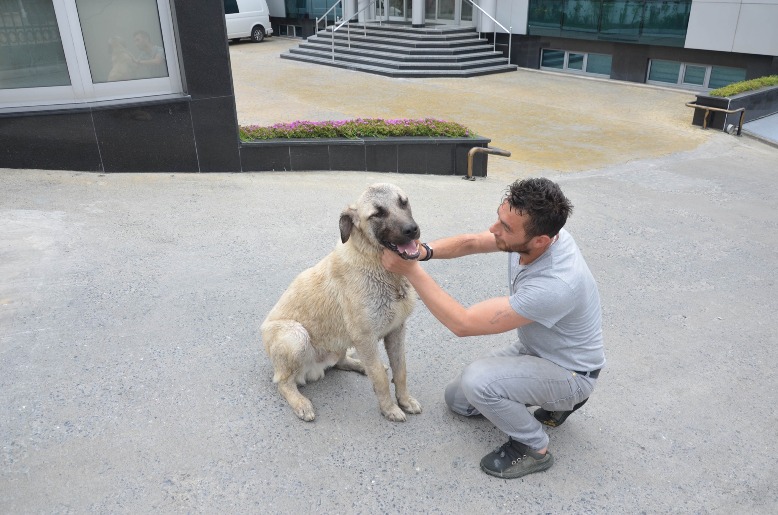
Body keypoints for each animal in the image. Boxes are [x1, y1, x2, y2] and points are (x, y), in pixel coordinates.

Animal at [260, 184, 422, 424]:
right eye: (377, 214)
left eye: (403, 202)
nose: (412, 230)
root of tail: (313, 369)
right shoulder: (365, 338)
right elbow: (380, 378)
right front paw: (389, 408)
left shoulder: (396, 331)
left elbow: (400, 370)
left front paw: (405, 400)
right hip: (296, 335)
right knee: (283, 382)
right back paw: (300, 402)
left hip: (339, 338)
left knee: (340, 361)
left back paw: (358, 365)